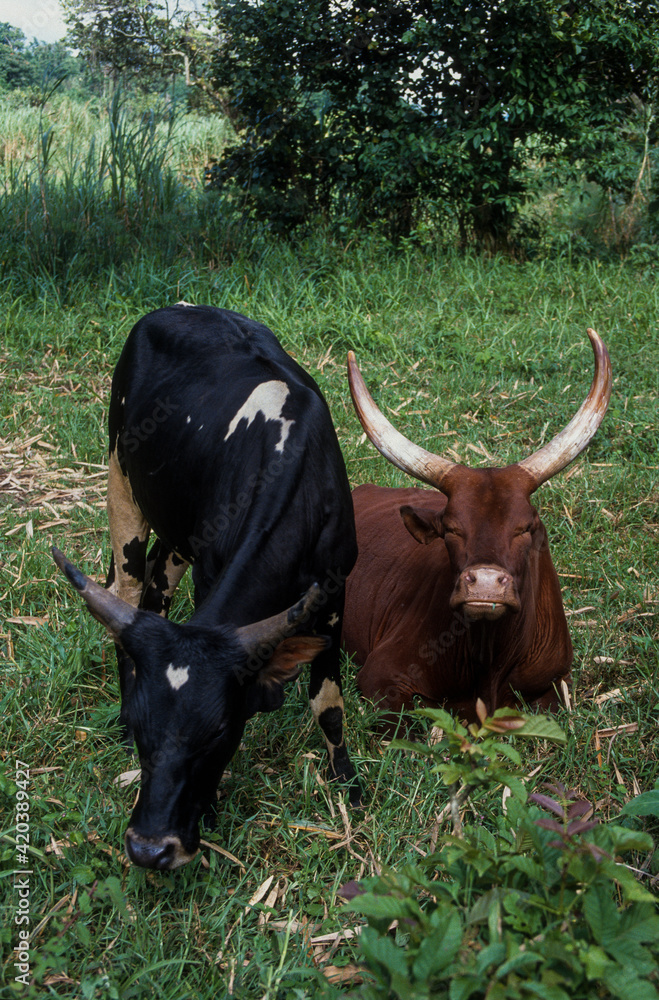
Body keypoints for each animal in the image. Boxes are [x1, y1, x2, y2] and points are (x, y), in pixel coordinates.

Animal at [53, 304, 360, 870]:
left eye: (218, 731)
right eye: (143, 721)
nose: (150, 847)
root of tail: (175, 308)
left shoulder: (335, 590)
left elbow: (327, 703)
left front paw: (349, 783)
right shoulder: (210, 575)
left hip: (176, 531)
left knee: (154, 590)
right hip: (121, 481)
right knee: (127, 591)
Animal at [342, 328, 611, 726]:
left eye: (525, 527)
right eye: (451, 529)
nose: (484, 583)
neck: (489, 661)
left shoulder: (557, 683)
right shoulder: (379, 678)